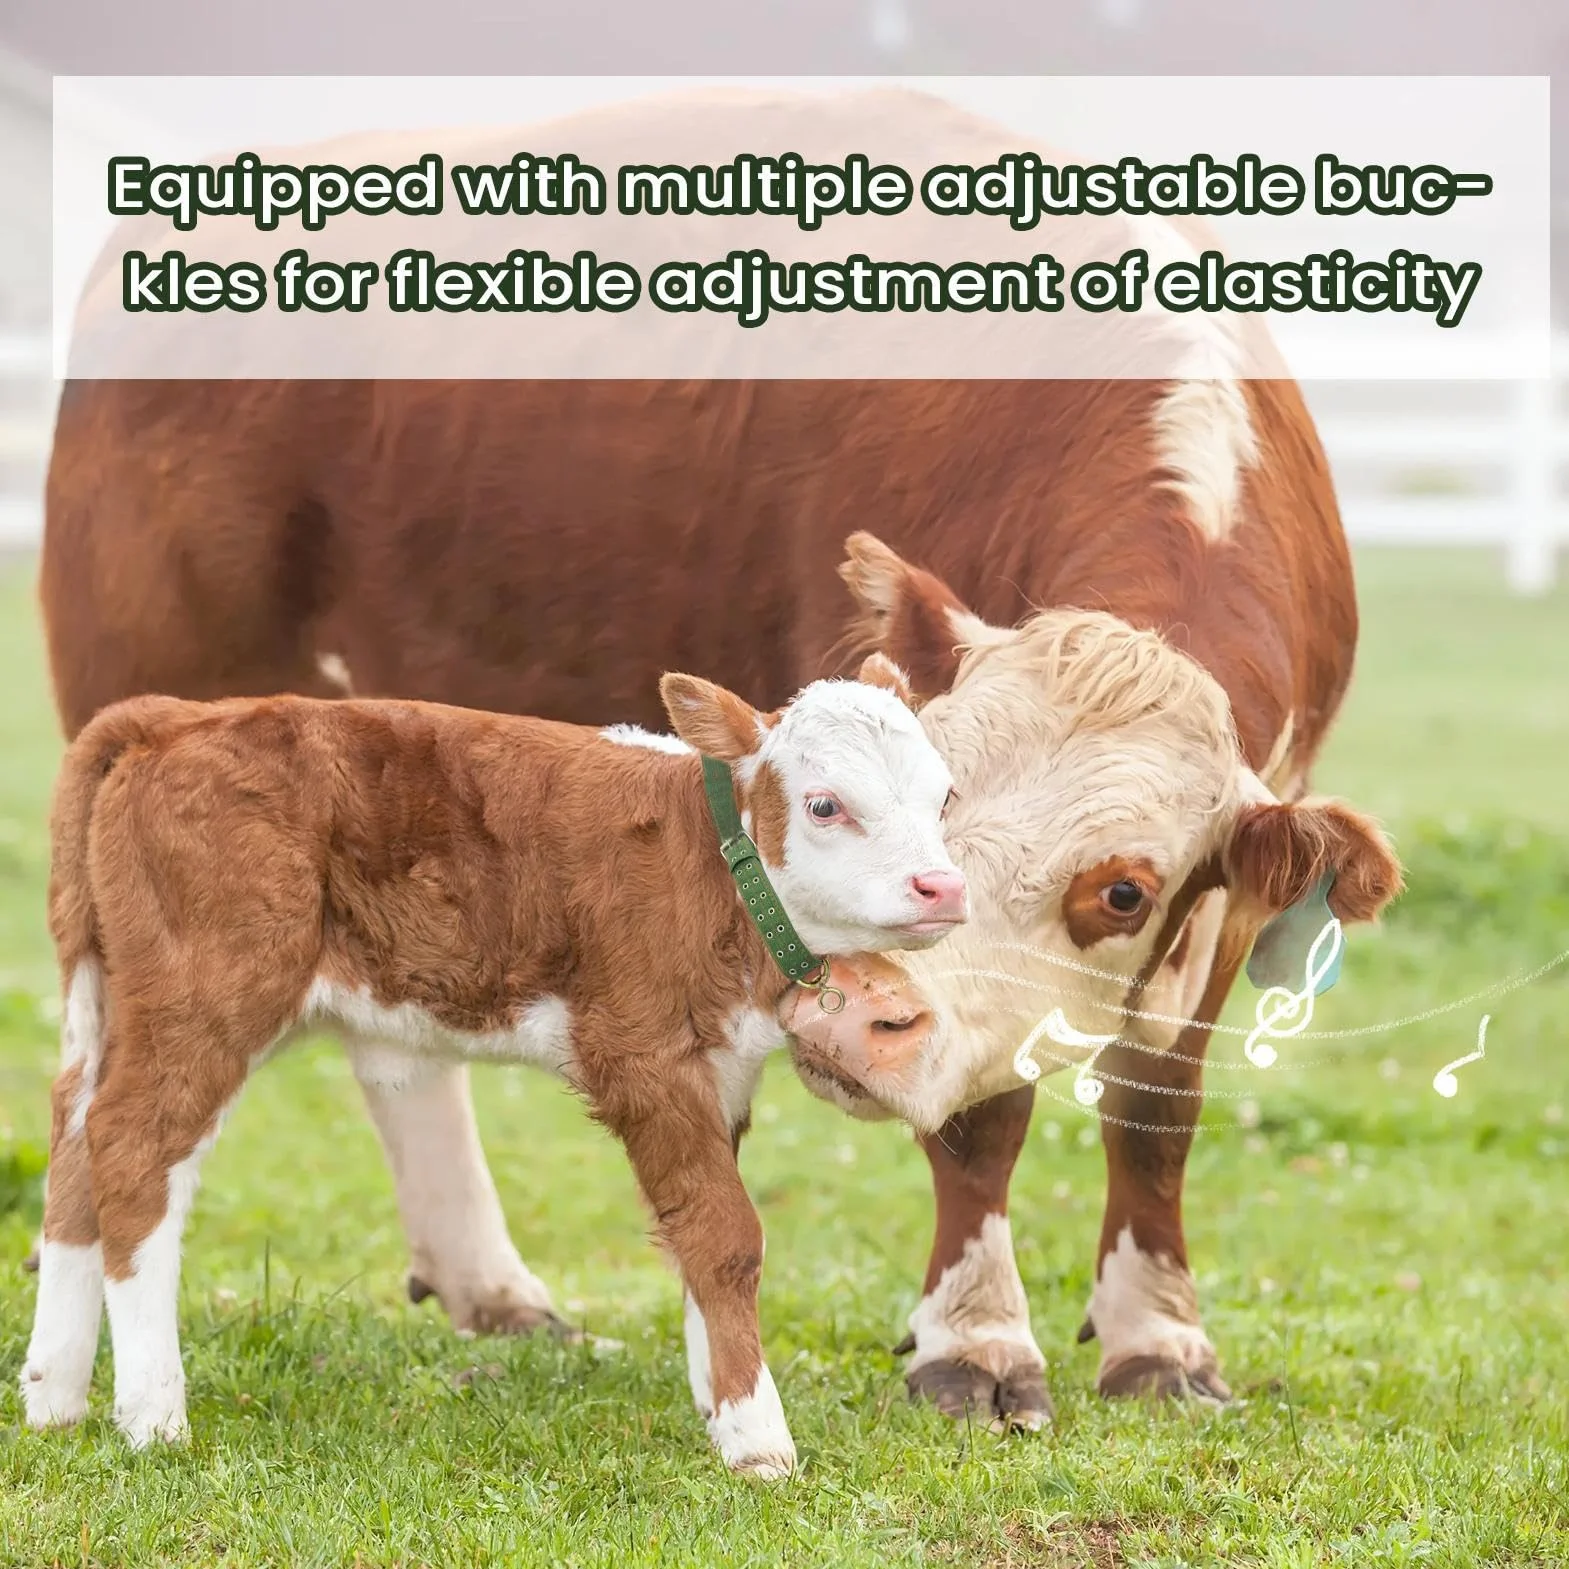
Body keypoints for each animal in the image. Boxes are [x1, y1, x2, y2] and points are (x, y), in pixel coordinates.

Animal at [20, 664, 967, 1472]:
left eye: (943, 794)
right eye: (824, 804)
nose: (942, 886)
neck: (707, 866)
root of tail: (175, 716)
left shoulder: (722, 1066)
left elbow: (694, 1230)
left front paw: (713, 1397)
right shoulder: (640, 1053)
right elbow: (724, 1235)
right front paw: (755, 1436)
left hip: (110, 1001)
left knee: (75, 1141)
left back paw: (53, 1397)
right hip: (209, 994)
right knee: (135, 1149)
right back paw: (152, 1416)